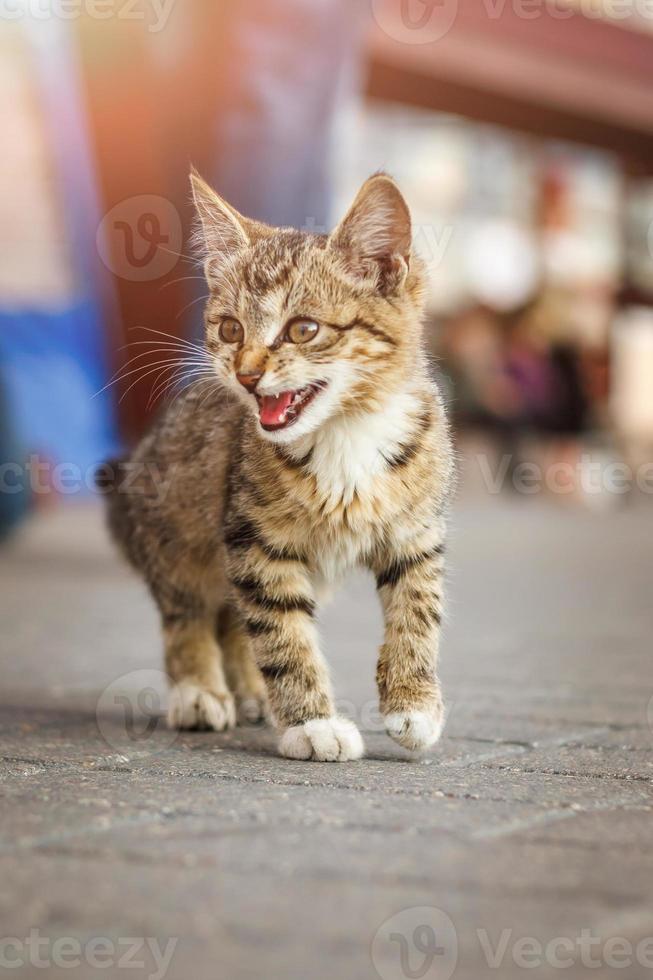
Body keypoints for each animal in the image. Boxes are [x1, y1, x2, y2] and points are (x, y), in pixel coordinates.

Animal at [104, 172, 456, 760]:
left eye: (303, 330)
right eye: (229, 330)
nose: (246, 376)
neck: (345, 433)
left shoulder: (416, 531)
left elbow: (418, 608)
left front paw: (414, 702)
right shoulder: (254, 541)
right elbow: (282, 633)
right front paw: (311, 723)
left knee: (230, 618)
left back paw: (248, 690)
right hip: (177, 527)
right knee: (190, 610)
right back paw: (199, 689)